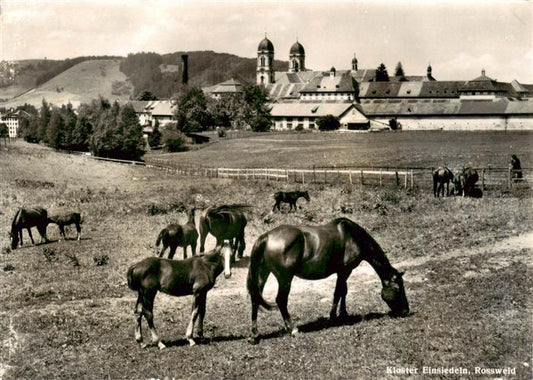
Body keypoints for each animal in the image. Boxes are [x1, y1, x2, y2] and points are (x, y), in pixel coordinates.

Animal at [247, 217, 410, 344]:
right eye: (398, 288)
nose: (406, 310)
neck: (353, 237)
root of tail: (266, 237)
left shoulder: (342, 272)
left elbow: (343, 291)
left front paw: (343, 314)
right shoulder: (345, 271)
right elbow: (339, 291)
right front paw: (334, 316)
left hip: (263, 274)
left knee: (255, 299)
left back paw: (255, 335)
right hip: (285, 278)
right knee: (281, 300)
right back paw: (292, 329)